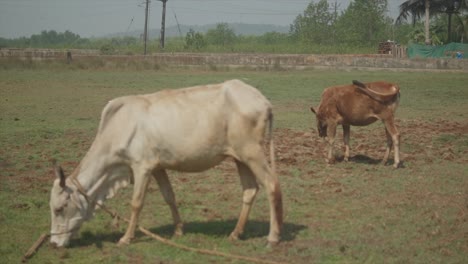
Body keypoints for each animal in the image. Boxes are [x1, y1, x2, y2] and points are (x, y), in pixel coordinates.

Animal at [48, 80, 282, 248]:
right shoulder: (157, 166)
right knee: (250, 190)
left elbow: (136, 203)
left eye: (59, 208)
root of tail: (264, 101)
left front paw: (126, 238)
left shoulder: (141, 167)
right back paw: (235, 233)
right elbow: (169, 196)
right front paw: (178, 230)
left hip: (252, 152)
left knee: (271, 184)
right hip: (239, 158)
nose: (53, 243)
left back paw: (272, 237)